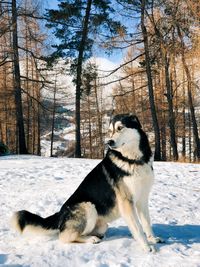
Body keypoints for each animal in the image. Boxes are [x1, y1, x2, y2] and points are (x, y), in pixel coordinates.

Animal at [11, 114, 162, 252]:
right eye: (110, 131)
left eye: (120, 128)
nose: (109, 142)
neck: (133, 160)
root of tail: (60, 214)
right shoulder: (126, 203)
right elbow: (138, 228)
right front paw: (146, 246)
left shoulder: (142, 199)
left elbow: (146, 222)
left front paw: (152, 239)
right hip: (88, 207)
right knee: (65, 237)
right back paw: (91, 239)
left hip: (101, 224)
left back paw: (96, 237)